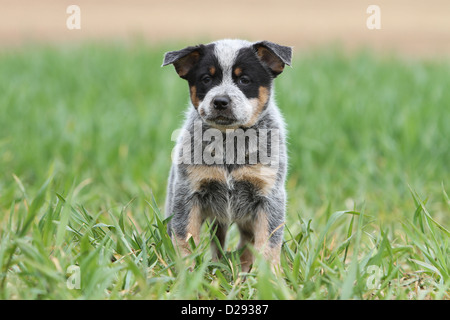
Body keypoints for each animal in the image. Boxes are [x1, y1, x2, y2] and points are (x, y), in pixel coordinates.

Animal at [163, 38, 292, 272]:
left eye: (244, 80)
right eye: (206, 79)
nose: (220, 101)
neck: (229, 140)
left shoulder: (269, 196)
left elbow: (268, 244)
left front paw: (269, 276)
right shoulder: (188, 194)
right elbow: (184, 238)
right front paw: (186, 273)